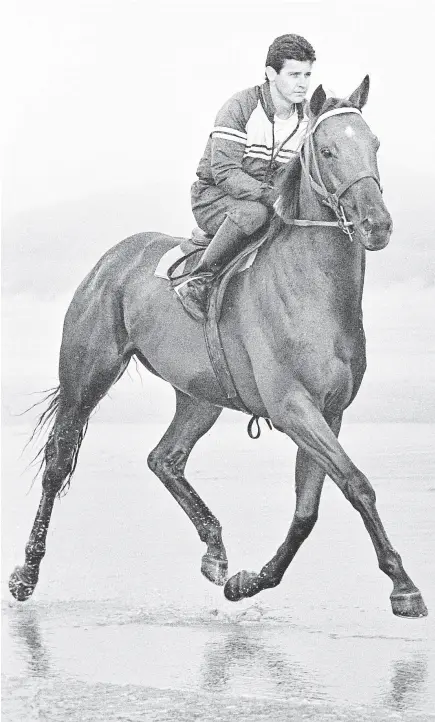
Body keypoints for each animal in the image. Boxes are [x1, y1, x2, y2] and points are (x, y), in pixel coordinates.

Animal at [9, 79, 430, 620]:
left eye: (375, 145)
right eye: (328, 150)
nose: (377, 224)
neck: (313, 291)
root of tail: (112, 260)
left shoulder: (328, 414)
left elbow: (307, 511)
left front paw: (249, 582)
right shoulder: (294, 409)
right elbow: (357, 484)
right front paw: (403, 585)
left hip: (199, 396)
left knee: (164, 459)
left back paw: (215, 550)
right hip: (87, 378)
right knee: (58, 464)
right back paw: (26, 574)